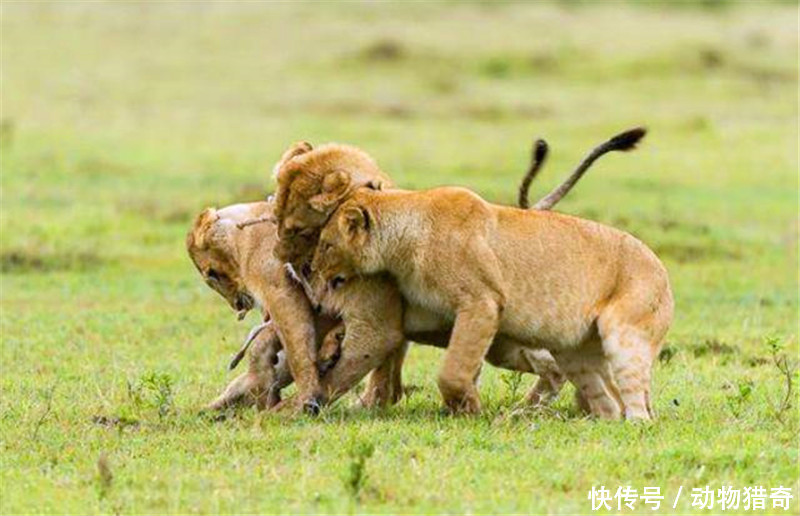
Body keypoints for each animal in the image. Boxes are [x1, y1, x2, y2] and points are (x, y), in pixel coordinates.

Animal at [312, 177, 676, 420]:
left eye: (326, 244)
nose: (311, 268)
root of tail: (663, 270)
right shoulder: (431, 311)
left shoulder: (482, 302)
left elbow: (453, 369)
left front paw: (467, 408)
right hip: (575, 353)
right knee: (607, 400)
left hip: (625, 335)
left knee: (636, 403)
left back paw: (631, 422)